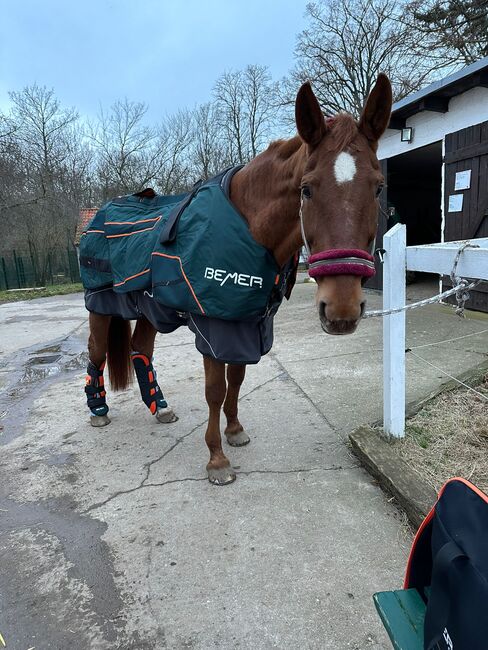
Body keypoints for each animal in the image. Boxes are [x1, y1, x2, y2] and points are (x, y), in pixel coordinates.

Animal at [86, 74, 392, 480]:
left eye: (377, 186)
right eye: (306, 189)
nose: (341, 309)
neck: (247, 226)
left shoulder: (246, 323)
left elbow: (238, 379)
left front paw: (234, 431)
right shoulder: (214, 326)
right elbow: (215, 389)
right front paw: (216, 457)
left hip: (150, 310)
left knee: (141, 349)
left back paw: (160, 406)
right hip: (100, 306)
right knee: (97, 352)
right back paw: (97, 410)